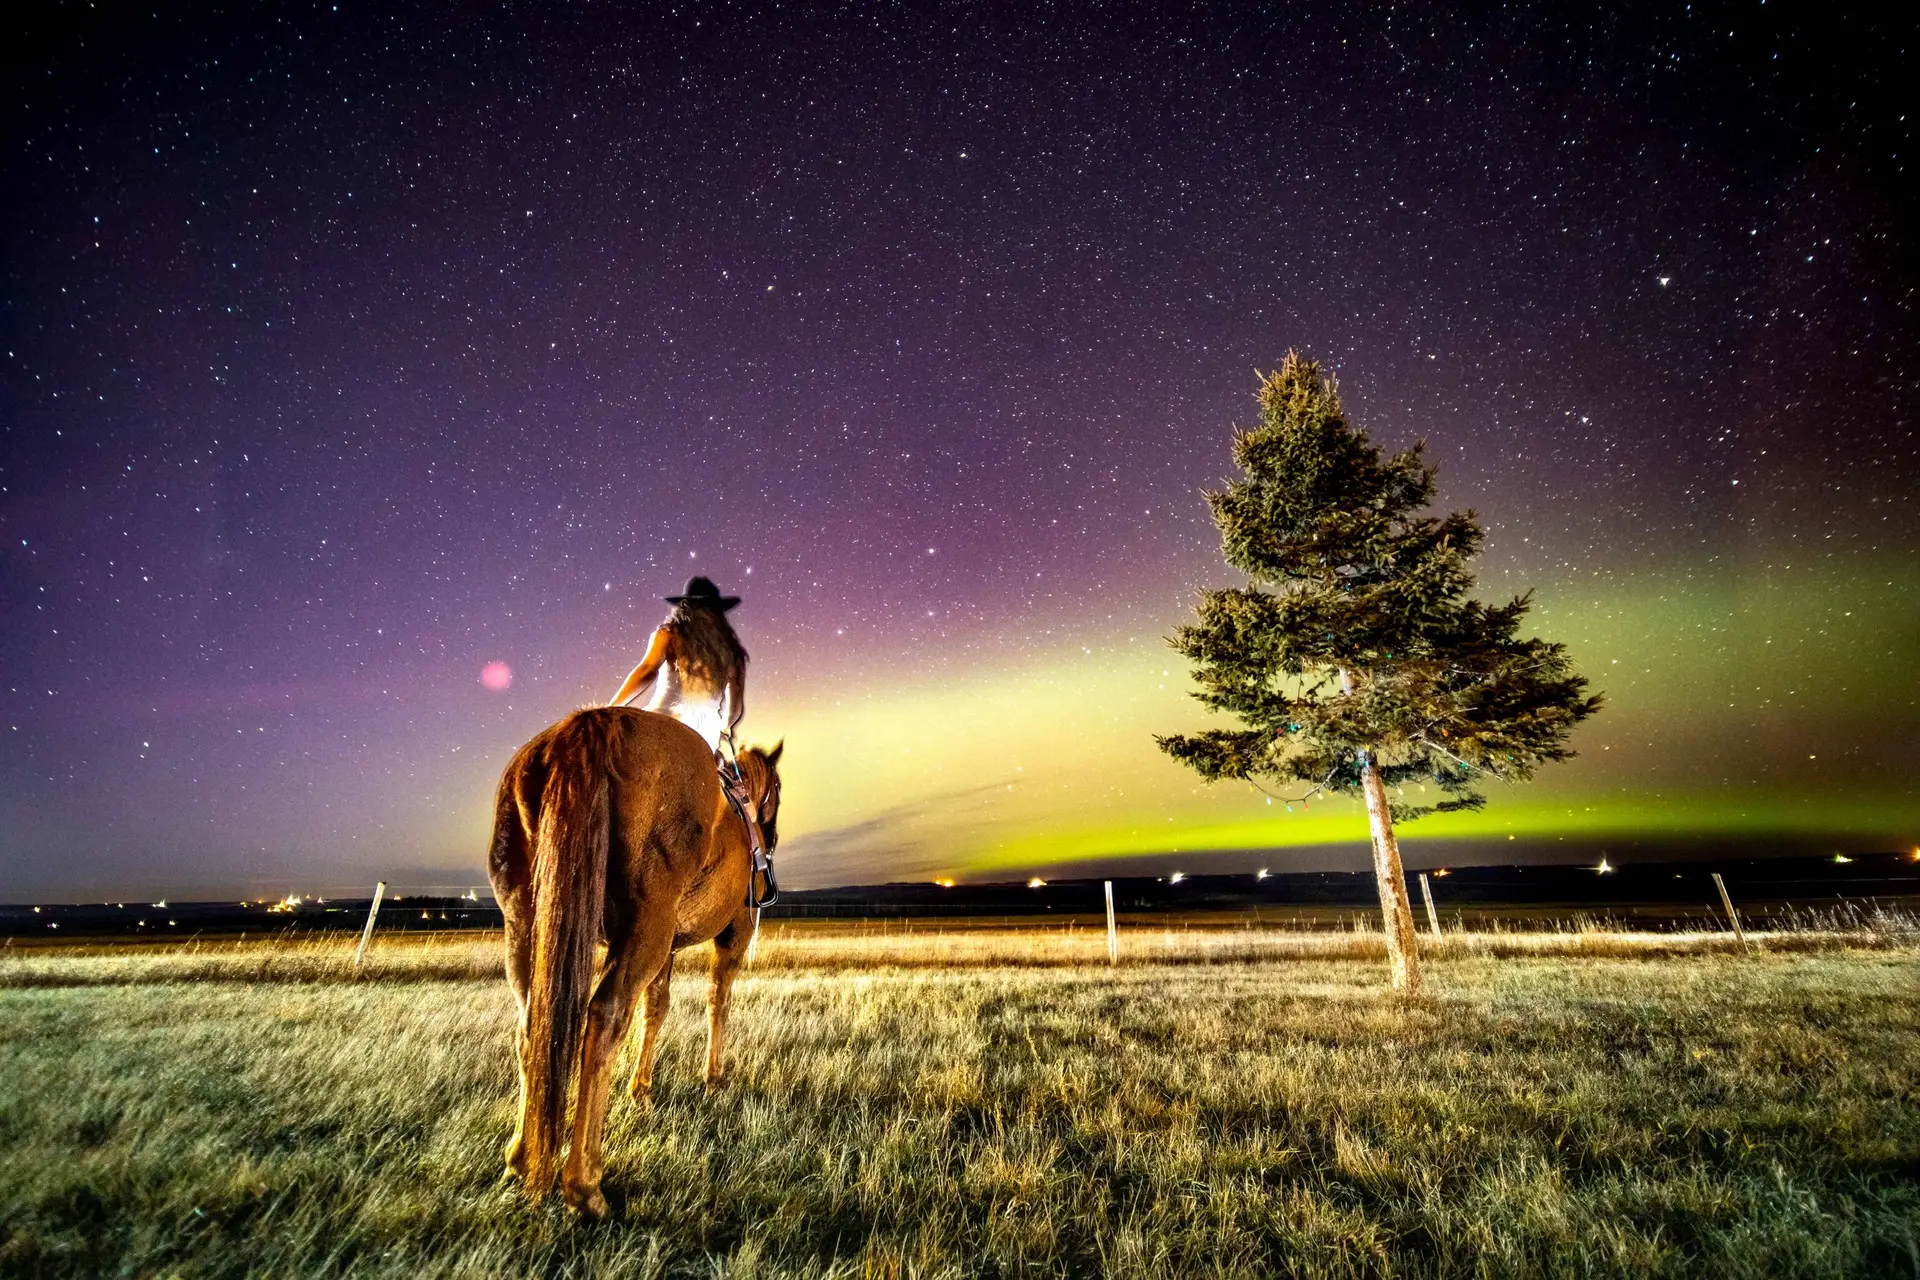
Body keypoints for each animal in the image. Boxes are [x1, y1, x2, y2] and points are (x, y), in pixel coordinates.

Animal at [491, 706, 783, 1220]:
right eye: (779, 794)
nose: (772, 840)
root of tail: (589, 726)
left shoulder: (667, 949)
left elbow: (657, 1008)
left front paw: (641, 1090)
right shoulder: (734, 932)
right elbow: (717, 1000)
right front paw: (713, 1080)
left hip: (526, 923)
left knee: (533, 1026)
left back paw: (520, 1161)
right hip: (646, 928)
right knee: (604, 1017)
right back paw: (584, 1186)